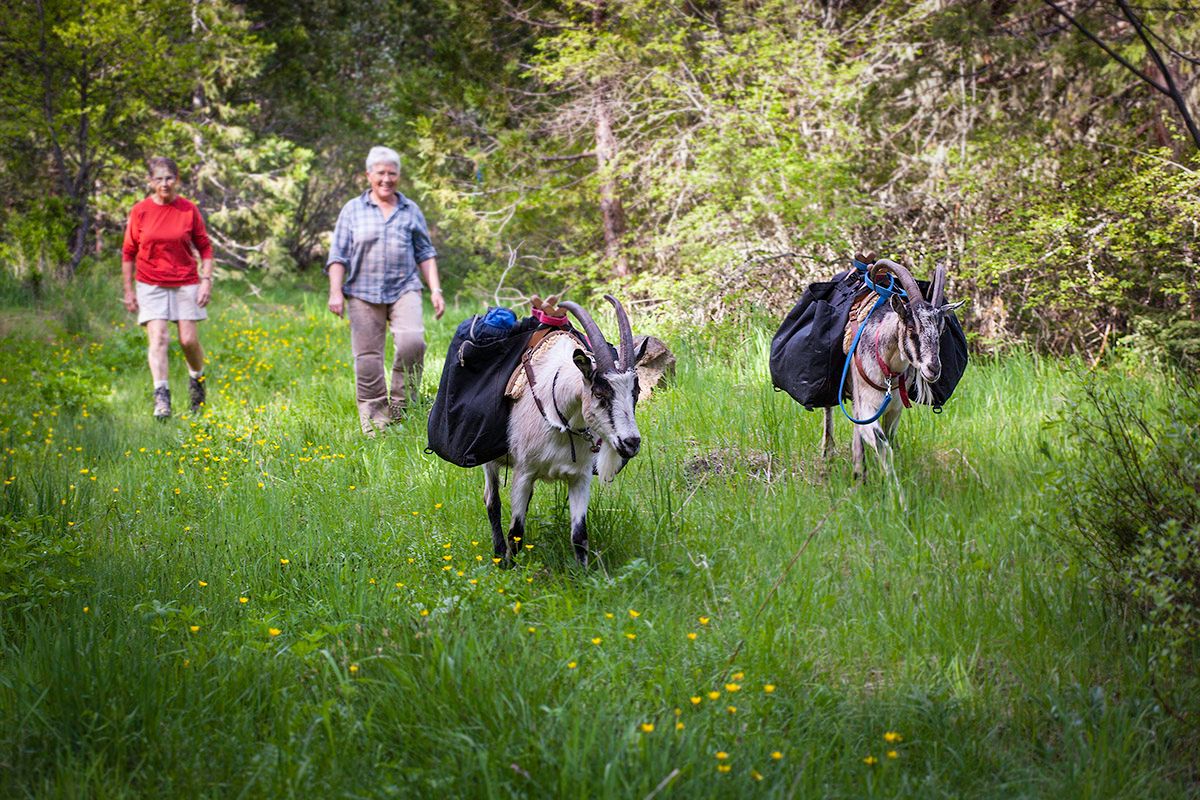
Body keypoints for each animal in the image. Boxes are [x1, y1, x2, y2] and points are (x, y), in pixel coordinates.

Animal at [483, 296, 648, 565]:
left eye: (637, 392)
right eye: (600, 393)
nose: (631, 442)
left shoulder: (580, 477)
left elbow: (579, 536)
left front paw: (584, 573)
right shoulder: (523, 472)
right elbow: (516, 533)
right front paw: (513, 570)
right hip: (490, 461)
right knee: (492, 501)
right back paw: (499, 556)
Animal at [822, 260, 963, 480]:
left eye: (940, 331)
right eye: (911, 328)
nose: (933, 369)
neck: (887, 371)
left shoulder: (894, 409)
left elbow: (887, 439)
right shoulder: (866, 405)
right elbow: (881, 443)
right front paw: (893, 487)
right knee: (828, 413)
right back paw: (828, 457)